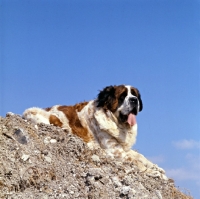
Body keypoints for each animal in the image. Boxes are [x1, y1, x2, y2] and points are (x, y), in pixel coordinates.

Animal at [23, 84, 167, 180]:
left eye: (135, 95)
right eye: (122, 97)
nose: (134, 100)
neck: (117, 123)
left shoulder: (123, 148)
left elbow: (140, 156)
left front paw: (156, 168)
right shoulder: (114, 150)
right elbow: (135, 160)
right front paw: (151, 171)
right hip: (40, 114)